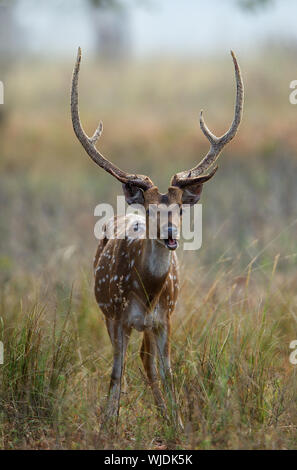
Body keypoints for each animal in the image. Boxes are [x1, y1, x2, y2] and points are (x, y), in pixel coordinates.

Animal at [70, 47, 243, 422]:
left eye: (180, 208)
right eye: (149, 210)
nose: (170, 234)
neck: (147, 292)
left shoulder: (166, 319)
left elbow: (168, 372)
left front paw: (176, 423)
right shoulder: (117, 317)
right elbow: (115, 375)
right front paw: (108, 423)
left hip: (150, 325)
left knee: (147, 363)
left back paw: (163, 414)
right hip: (106, 312)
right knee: (131, 362)